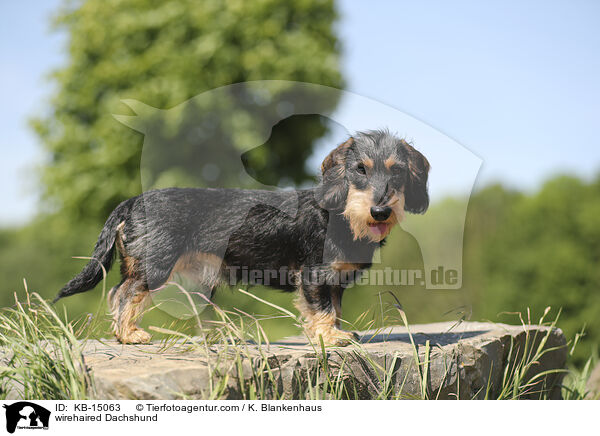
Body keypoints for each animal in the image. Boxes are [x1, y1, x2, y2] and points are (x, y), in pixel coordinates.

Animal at [51, 127, 426, 346]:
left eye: (396, 171)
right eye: (360, 170)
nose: (380, 211)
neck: (341, 214)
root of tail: (131, 201)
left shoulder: (335, 281)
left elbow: (333, 308)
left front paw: (334, 332)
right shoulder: (315, 276)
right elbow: (322, 310)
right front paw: (330, 337)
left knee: (118, 292)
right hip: (154, 267)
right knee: (126, 295)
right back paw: (130, 334)